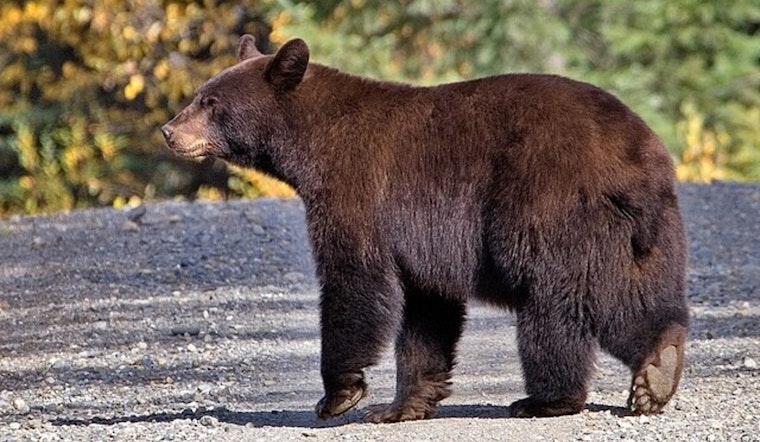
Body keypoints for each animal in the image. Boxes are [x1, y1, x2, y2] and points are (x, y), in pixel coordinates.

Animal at [162, 35, 689, 423]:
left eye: (210, 102)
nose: (169, 131)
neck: (310, 145)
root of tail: (635, 157)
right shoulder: (423, 240)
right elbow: (426, 312)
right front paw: (401, 405)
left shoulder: (357, 192)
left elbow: (355, 281)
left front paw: (338, 395)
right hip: (646, 233)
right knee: (635, 294)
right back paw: (658, 369)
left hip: (548, 207)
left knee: (556, 301)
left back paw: (546, 398)